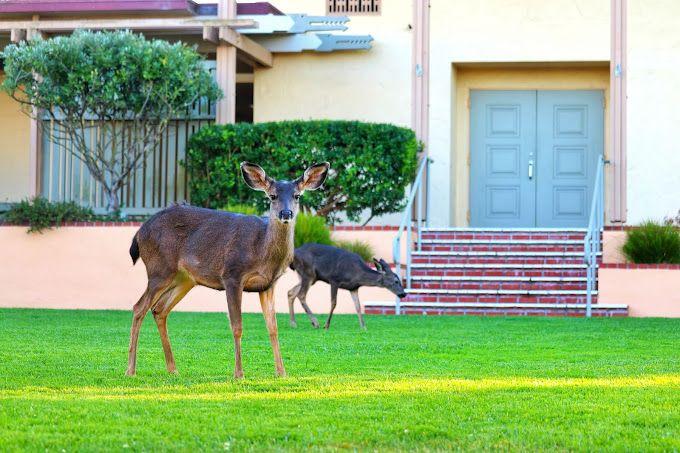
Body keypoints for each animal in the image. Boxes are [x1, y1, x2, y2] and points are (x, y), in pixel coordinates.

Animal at [127, 161, 332, 376]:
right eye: (272, 196)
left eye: (297, 195)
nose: (286, 214)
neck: (262, 250)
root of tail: (139, 233)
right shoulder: (232, 275)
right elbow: (237, 326)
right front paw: (239, 374)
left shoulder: (268, 285)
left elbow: (273, 327)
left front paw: (282, 373)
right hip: (159, 269)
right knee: (139, 307)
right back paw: (131, 370)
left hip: (184, 279)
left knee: (159, 310)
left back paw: (173, 369)